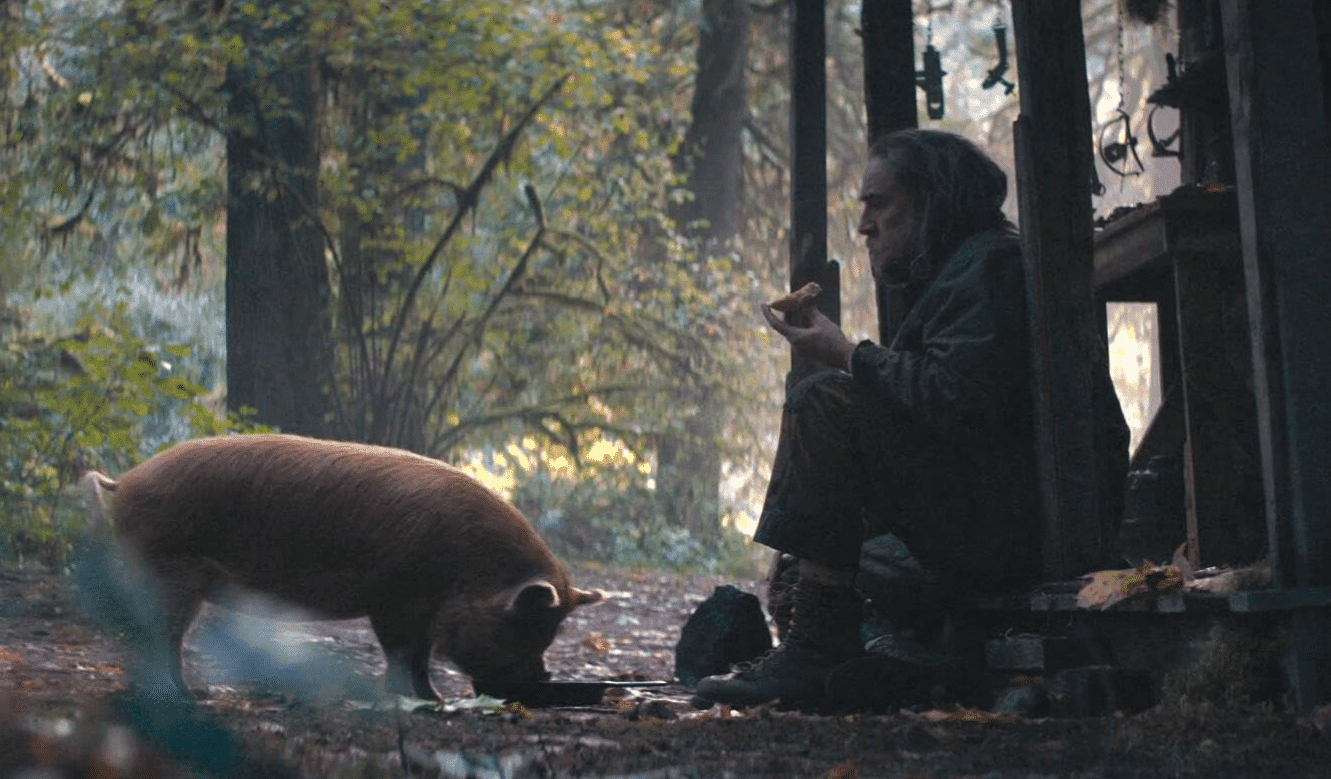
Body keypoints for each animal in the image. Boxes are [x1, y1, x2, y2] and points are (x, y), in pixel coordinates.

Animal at [81, 433, 602, 700]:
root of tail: (125, 480)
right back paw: (183, 697)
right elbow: (402, 651)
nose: (544, 679)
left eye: (550, 636)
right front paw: (419, 702)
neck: (467, 568)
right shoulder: (395, 597)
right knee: (159, 634)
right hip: (168, 570)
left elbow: (418, 655)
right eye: (523, 628)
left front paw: (432, 701)